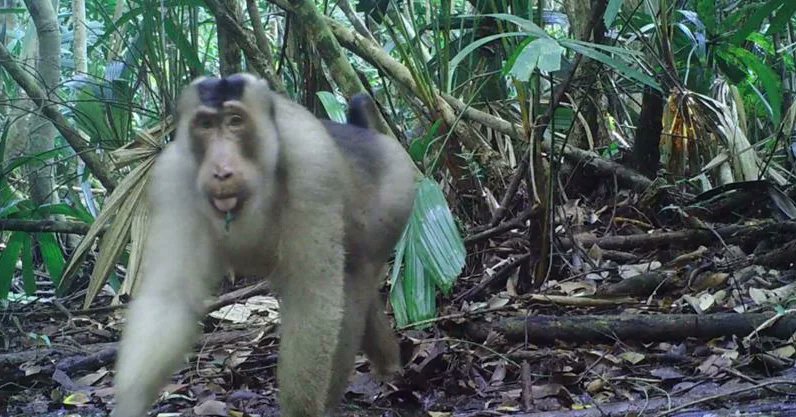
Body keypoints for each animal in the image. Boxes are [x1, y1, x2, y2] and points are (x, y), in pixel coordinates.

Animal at [111, 73, 417, 417]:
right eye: (205, 124)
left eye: (235, 121)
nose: (221, 171)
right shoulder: (170, 179)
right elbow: (170, 300)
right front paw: (129, 405)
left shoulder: (312, 166)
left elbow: (313, 303)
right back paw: (388, 361)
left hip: (397, 194)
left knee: (352, 284)